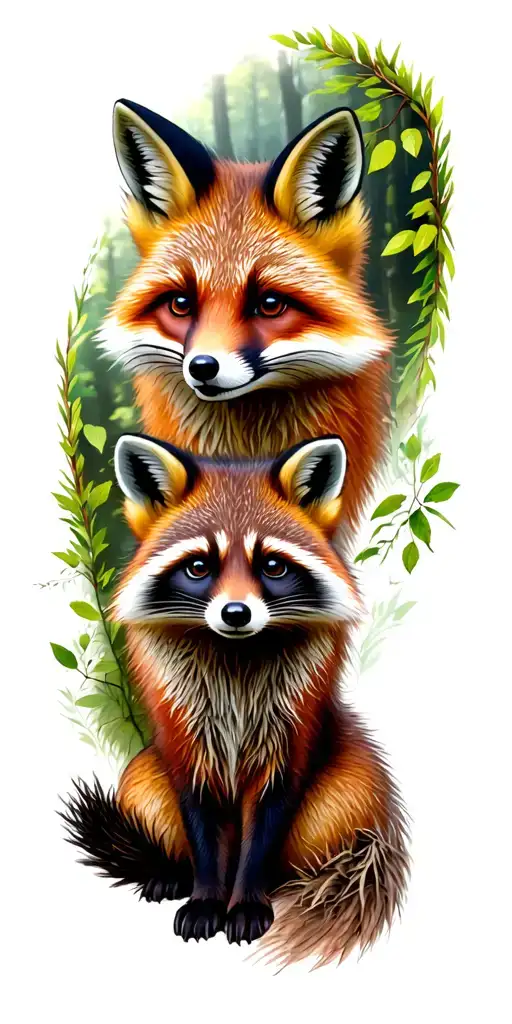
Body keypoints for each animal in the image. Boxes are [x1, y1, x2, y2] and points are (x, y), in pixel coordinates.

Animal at [62, 433, 409, 967]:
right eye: (199, 566)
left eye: (272, 565)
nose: (236, 613)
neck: (235, 660)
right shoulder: (185, 743)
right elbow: (203, 832)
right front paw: (208, 896)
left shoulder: (289, 743)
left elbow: (261, 835)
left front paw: (244, 901)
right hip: (143, 774)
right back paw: (169, 871)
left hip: (351, 786)